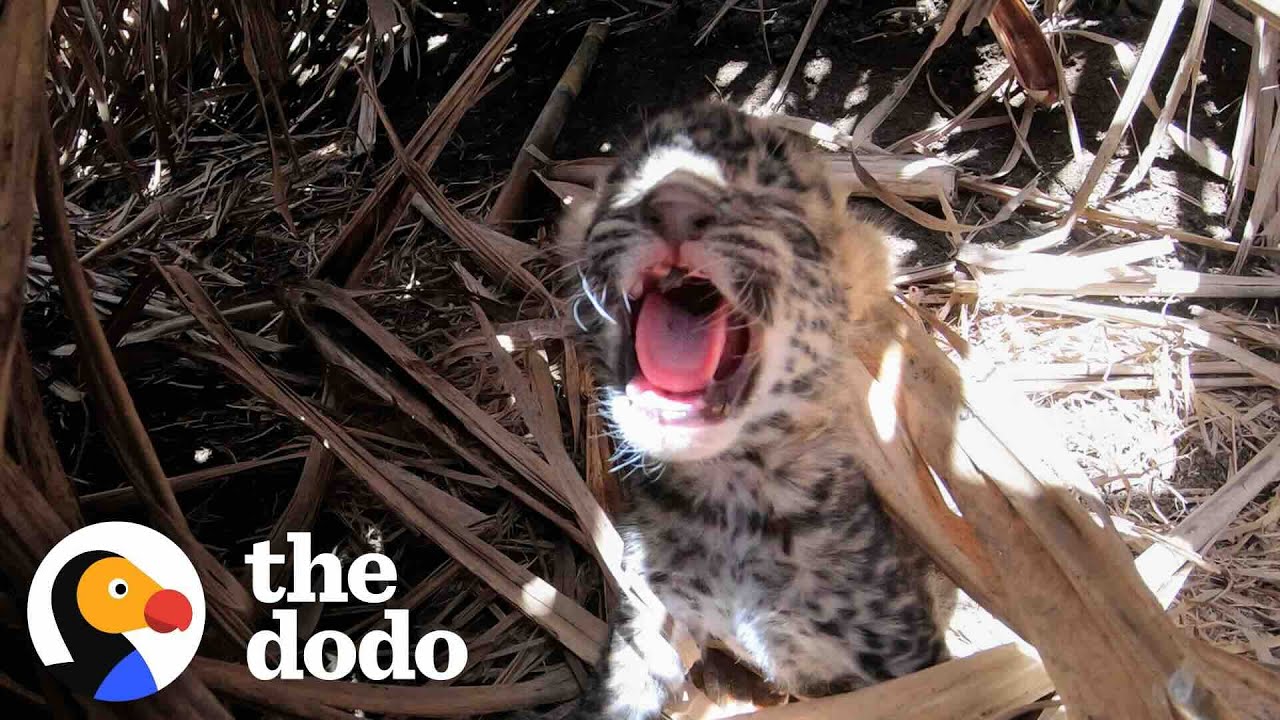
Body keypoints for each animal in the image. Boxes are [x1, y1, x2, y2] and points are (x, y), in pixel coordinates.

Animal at [557, 102, 949, 719]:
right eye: (627, 179)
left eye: (772, 191)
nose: (673, 204)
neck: (732, 501)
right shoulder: (648, 613)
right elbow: (621, 688)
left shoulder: (905, 648)